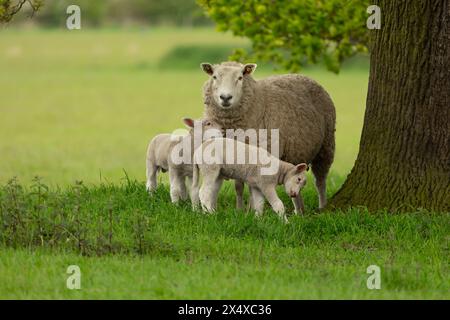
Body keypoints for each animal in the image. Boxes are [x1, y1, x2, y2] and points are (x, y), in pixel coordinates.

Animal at [200, 61, 334, 210]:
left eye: (240, 77)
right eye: (214, 76)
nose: (225, 97)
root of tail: (304, 76)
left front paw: (250, 210)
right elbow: (238, 186)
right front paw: (240, 210)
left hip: (326, 147)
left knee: (320, 181)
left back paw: (322, 207)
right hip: (296, 154)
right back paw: (299, 211)